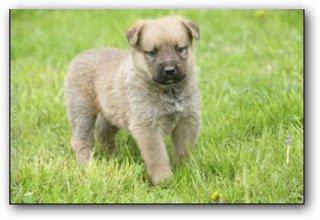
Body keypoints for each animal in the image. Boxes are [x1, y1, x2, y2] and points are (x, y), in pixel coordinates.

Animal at [64, 15, 201, 185]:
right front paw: (164, 180)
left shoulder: (187, 120)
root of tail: (79, 56)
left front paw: (184, 170)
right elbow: (158, 157)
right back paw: (87, 167)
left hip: (112, 114)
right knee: (81, 141)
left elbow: (183, 150)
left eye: (180, 49)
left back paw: (112, 157)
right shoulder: (148, 127)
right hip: (81, 111)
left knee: (102, 132)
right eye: (152, 52)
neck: (169, 91)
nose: (169, 70)